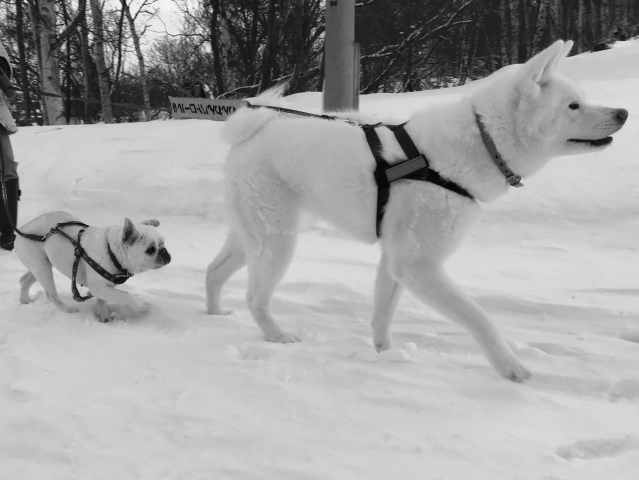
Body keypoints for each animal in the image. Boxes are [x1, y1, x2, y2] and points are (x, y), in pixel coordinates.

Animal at [15, 211, 170, 320]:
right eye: (151, 250)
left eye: (163, 243)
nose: (165, 252)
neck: (112, 252)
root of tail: (23, 229)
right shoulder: (99, 287)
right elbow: (125, 295)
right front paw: (141, 304)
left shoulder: (104, 287)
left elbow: (102, 300)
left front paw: (104, 316)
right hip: (42, 268)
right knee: (51, 295)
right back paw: (68, 309)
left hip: (41, 265)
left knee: (24, 280)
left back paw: (24, 300)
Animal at [206, 39, 632, 380]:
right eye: (573, 105)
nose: (624, 113)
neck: (483, 141)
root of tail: (251, 129)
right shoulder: (417, 264)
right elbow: (479, 316)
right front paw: (511, 367)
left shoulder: (395, 261)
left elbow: (383, 314)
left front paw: (385, 353)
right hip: (277, 240)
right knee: (255, 297)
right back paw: (277, 335)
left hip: (252, 234)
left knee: (214, 271)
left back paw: (213, 314)